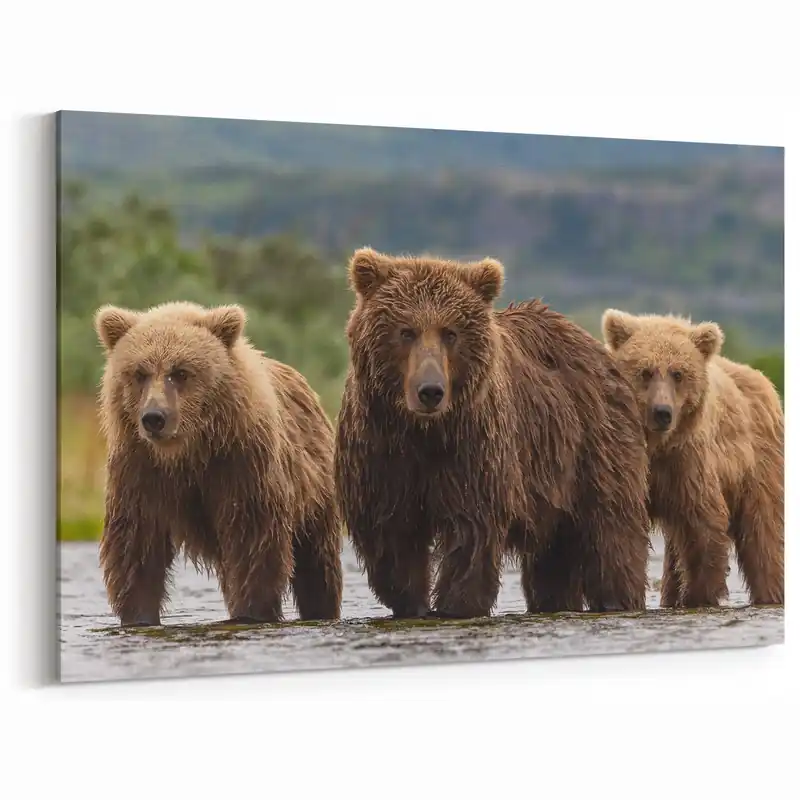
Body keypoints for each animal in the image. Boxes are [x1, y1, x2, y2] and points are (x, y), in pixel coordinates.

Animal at [93, 300, 343, 627]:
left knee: (317, 562)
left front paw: (253, 611)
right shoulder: (140, 469)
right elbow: (137, 544)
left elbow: (252, 541)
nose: (154, 418)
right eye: (139, 373)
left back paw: (321, 608)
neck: (188, 453)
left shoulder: (240, 464)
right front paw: (139, 615)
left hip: (314, 484)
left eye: (180, 372)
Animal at [333, 247, 652, 620]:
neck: (423, 431)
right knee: (554, 559)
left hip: (595, 445)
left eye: (450, 332)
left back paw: (618, 599)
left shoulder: (474, 448)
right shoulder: (380, 452)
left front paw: (456, 605)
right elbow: (392, 535)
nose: (430, 391)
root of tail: (592, 344)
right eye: (406, 331)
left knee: (611, 531)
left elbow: (471, 532)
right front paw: (413, 603)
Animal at [601, 309, 784, 608]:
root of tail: (764, 381)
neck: (657, 447)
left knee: (764, 533)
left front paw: (697, 596)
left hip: (758, 462)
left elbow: (703, 525)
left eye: (678, 373)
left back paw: (771, 594)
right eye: (645, 371)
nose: (662, 412)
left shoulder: (687, 461)